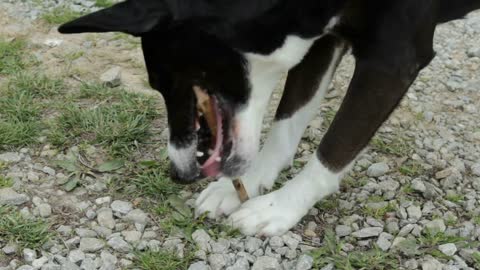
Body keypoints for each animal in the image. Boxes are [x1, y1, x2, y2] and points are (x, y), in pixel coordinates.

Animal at [60, 0, 480, 235]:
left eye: (165, 82)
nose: (179, 174)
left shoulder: (392, 60)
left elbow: (334, 149)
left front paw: (281, 207)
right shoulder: (326, 36)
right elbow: (287, 120)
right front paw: (246, 184)